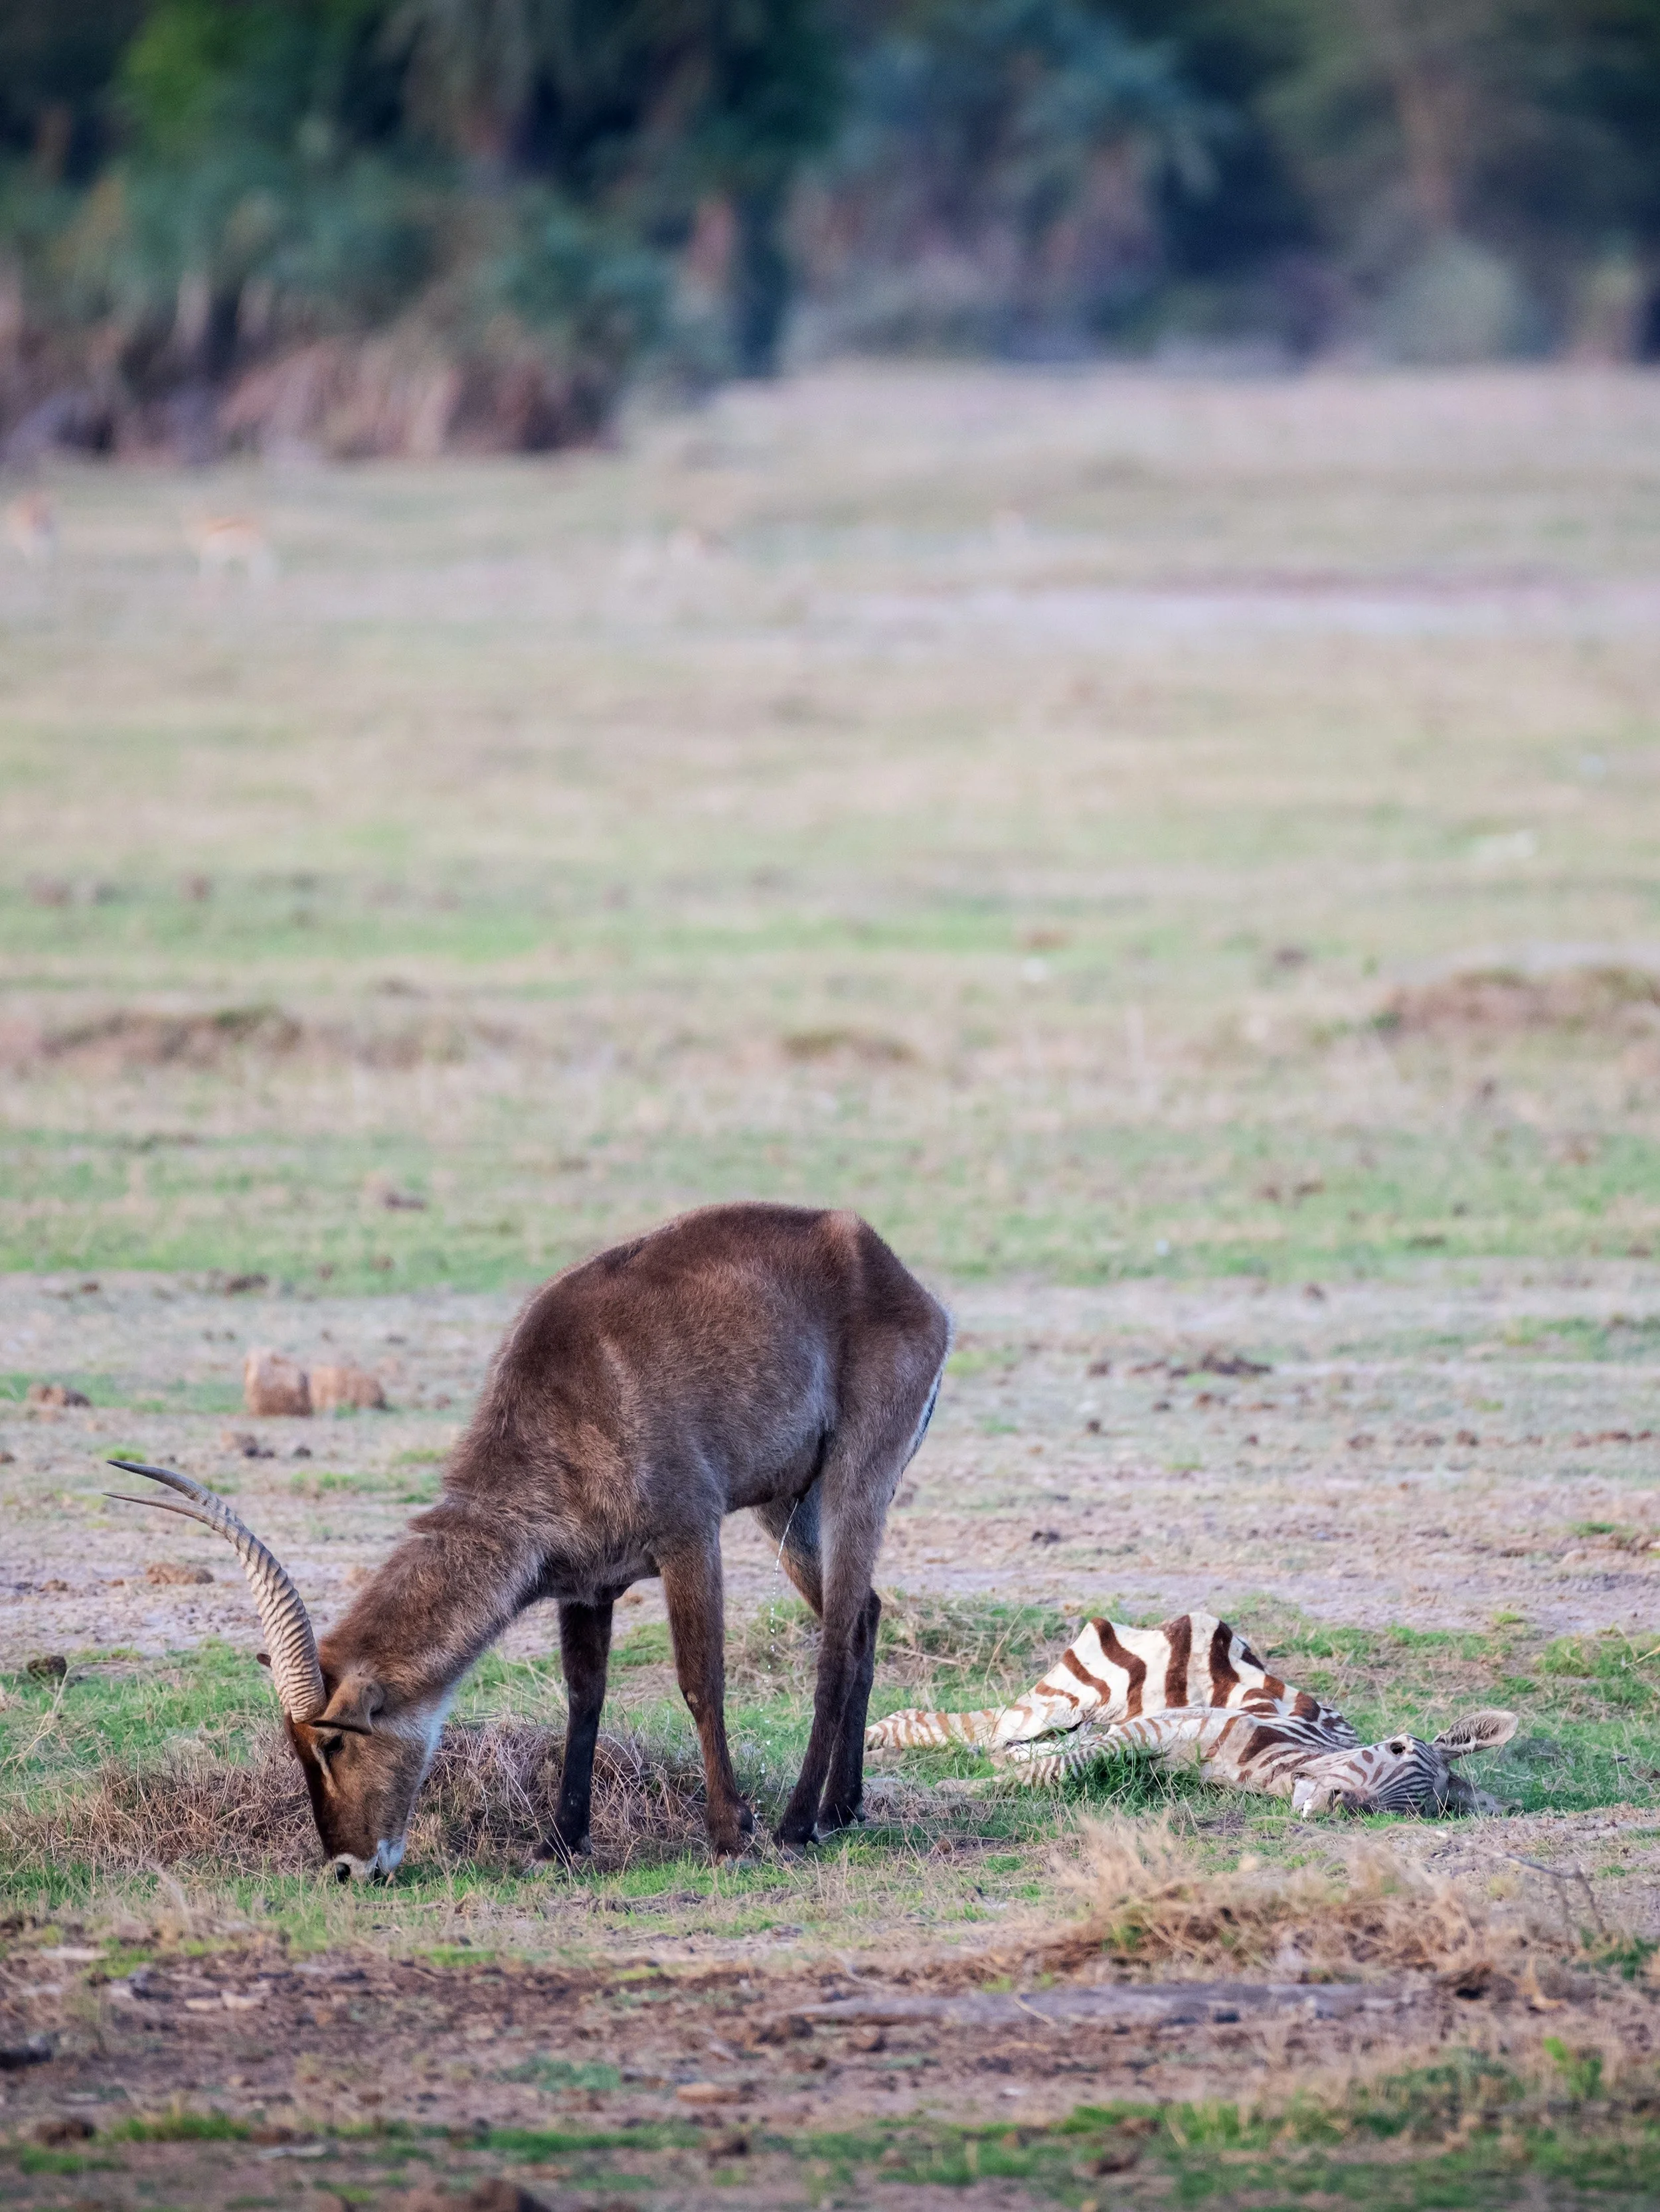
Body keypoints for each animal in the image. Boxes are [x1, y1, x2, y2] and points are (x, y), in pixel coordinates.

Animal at [111, 1203, 950, 1880]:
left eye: (333, 1744)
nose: (347, 1867)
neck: (568, 1401)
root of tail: (891, 1268)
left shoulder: (689, 1534)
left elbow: (698, 1681)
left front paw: (727, 1835)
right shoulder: (589, 1583)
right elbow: (584, 1694)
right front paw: (559, 1842)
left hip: (854, 1476)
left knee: (835, 1639)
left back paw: (797, 1822)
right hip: (785, 1506)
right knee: (864, 1614)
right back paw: (842, 1808)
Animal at [866, 1610, 1516, 1818]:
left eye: (1407, 1810)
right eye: (1395, 1748)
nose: (1338, 1806)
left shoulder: (1152, 1753)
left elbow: (1054, 1770)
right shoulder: (1159, 1725)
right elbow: (1053, 1773)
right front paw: (949, 1793)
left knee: (999, 1742)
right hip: (1076, 1694)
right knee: (970, 1728)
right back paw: (875, 1745)